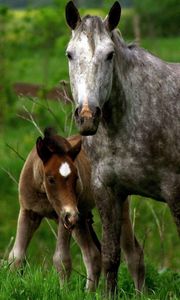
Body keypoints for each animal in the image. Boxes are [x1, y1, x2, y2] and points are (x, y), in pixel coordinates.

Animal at [65, 0, 180, 296]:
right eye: (70, 54)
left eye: (109, 55)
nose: (87, 116)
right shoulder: (107, 190)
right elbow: (110, 256)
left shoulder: (175, 191)